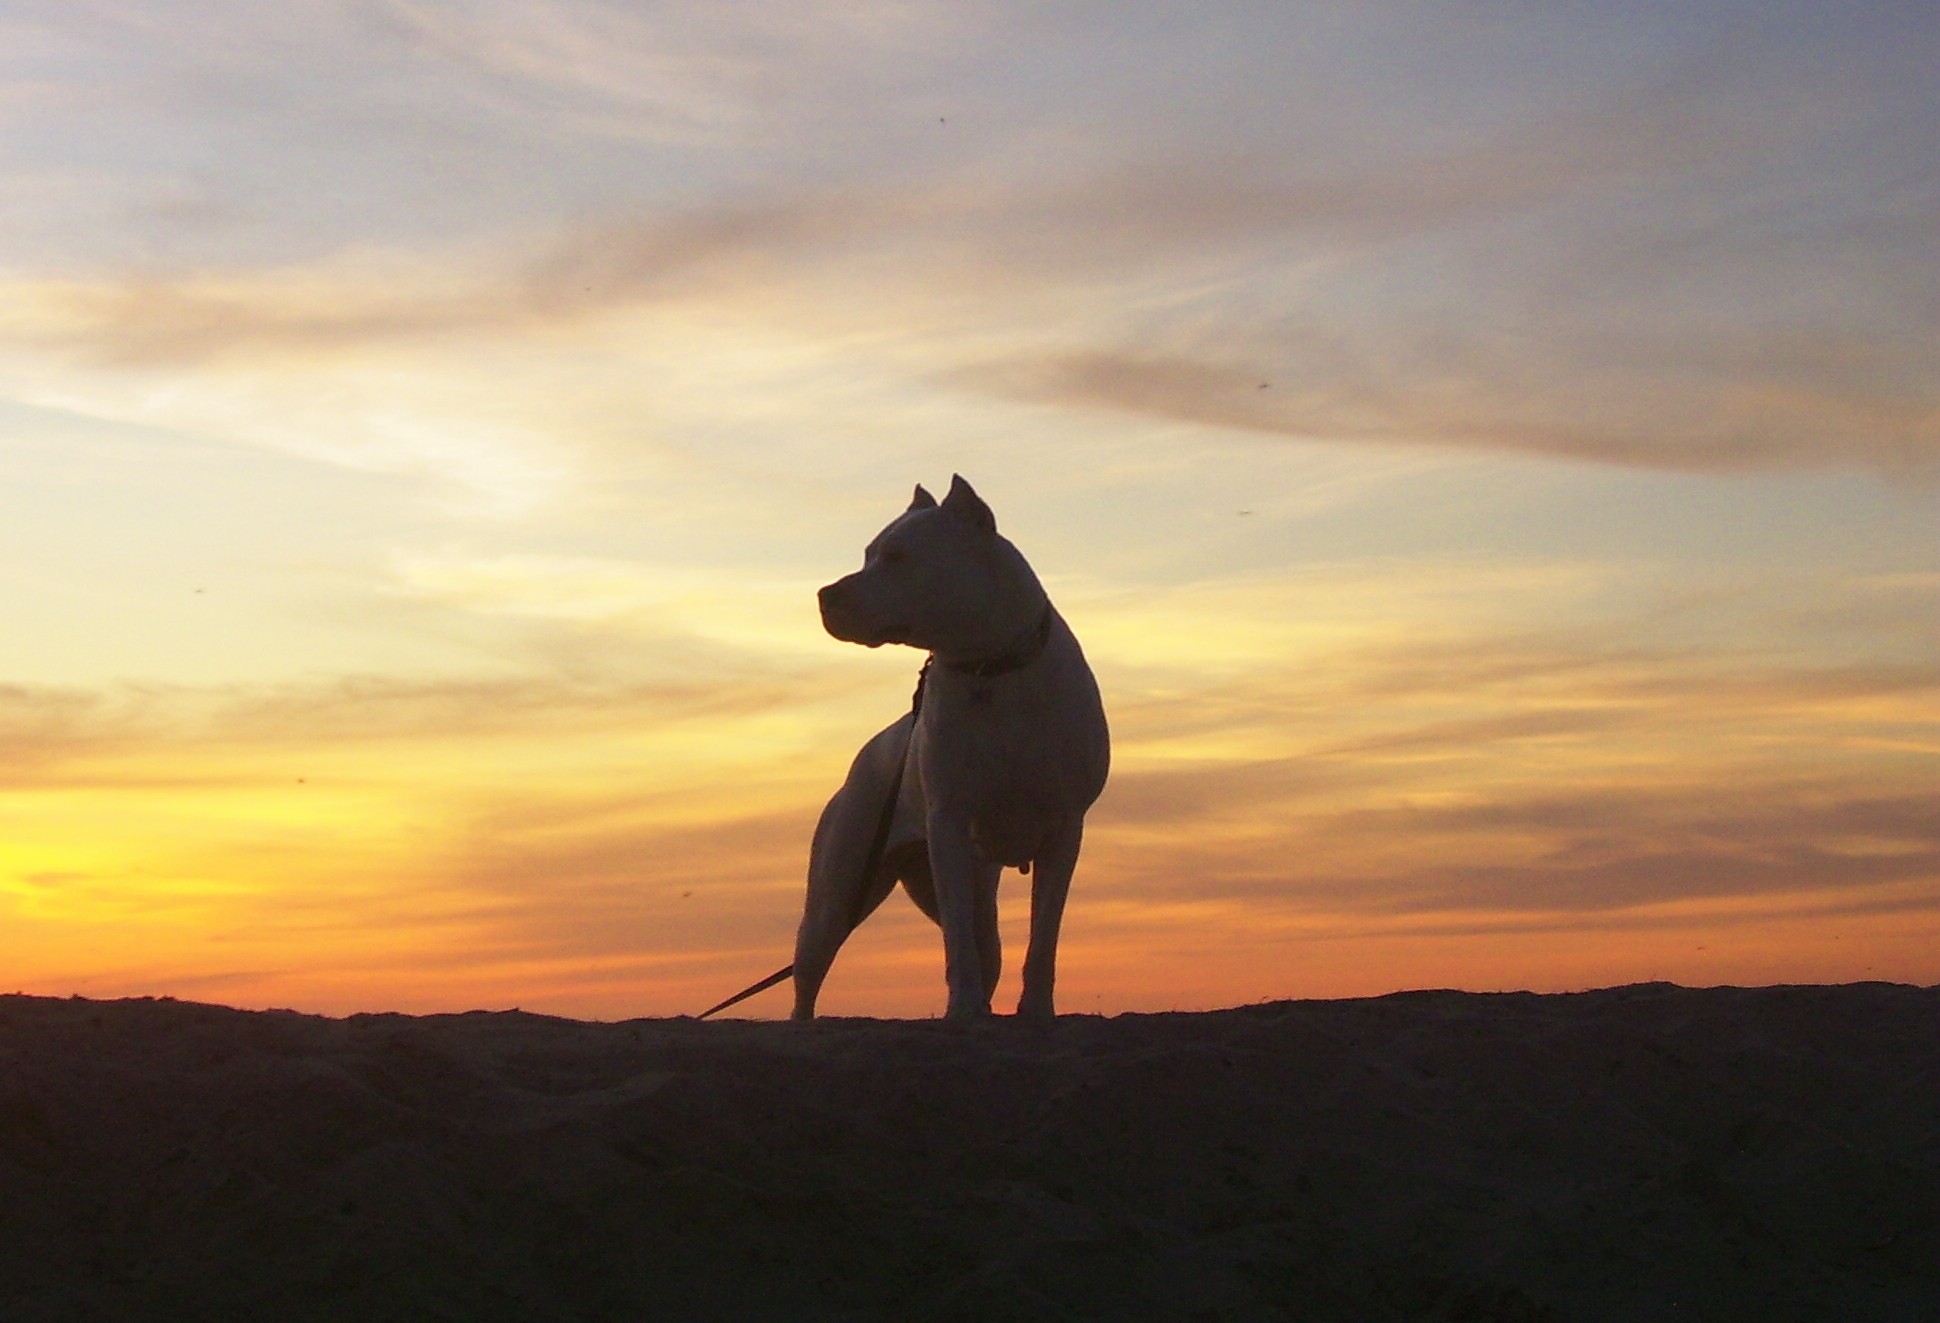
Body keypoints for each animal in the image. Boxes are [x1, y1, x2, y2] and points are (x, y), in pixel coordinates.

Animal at [795, 473, 1117, 1016]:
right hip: (837, 894)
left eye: (897, 556)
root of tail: (868, 754)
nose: (825, 595)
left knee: (991, 950)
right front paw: (962, 1008)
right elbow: (958, 945)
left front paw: (1035, 1008)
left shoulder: (1064, 830)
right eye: (868, 554)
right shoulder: (948, 824)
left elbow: (1044, 937)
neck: (991, 666)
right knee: (809, 974)